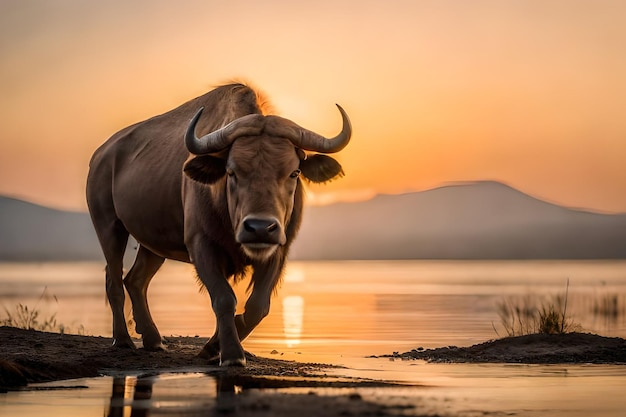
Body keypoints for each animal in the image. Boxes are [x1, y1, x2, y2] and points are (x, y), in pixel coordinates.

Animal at [86, 83, 352, 366]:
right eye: (231, 171)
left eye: (294, 172)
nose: (259, 228)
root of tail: (101, 156)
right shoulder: (201, 245)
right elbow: (224, 298)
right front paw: (230, 354)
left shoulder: (279, 250)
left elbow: (258, 306)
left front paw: (215, 346)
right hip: (109, 226)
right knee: (114, 280)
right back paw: (123, 340)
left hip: (153, 243)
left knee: (135, 280)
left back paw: (153, 340)